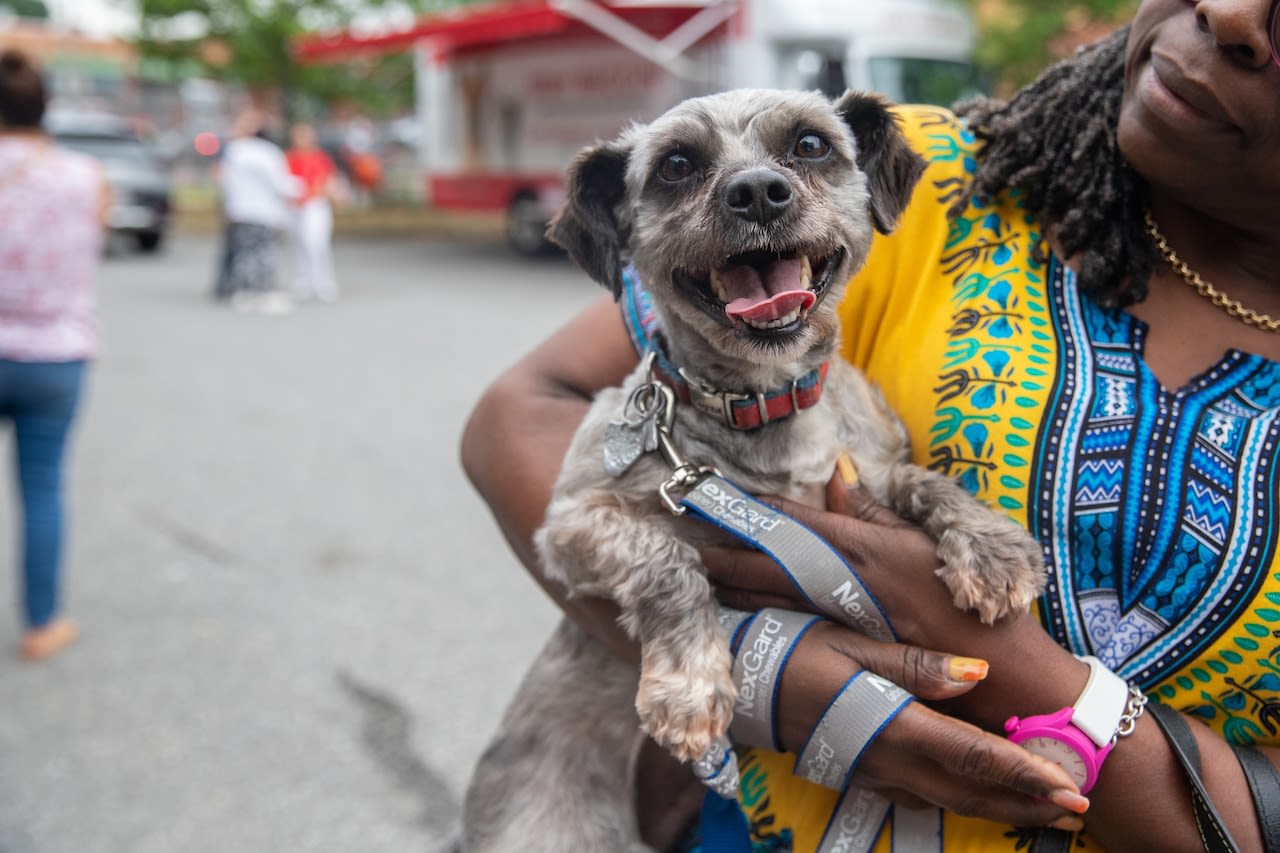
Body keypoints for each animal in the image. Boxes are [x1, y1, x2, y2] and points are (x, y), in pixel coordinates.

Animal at [465, 89, 1044, 845]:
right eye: (677, 164)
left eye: (810, 145)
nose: (759, 192)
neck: (765, 402)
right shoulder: (571, 523)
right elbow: (668, 558)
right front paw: (690, 682)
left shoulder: (866, 468)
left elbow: (924, 481)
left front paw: (991, 546)